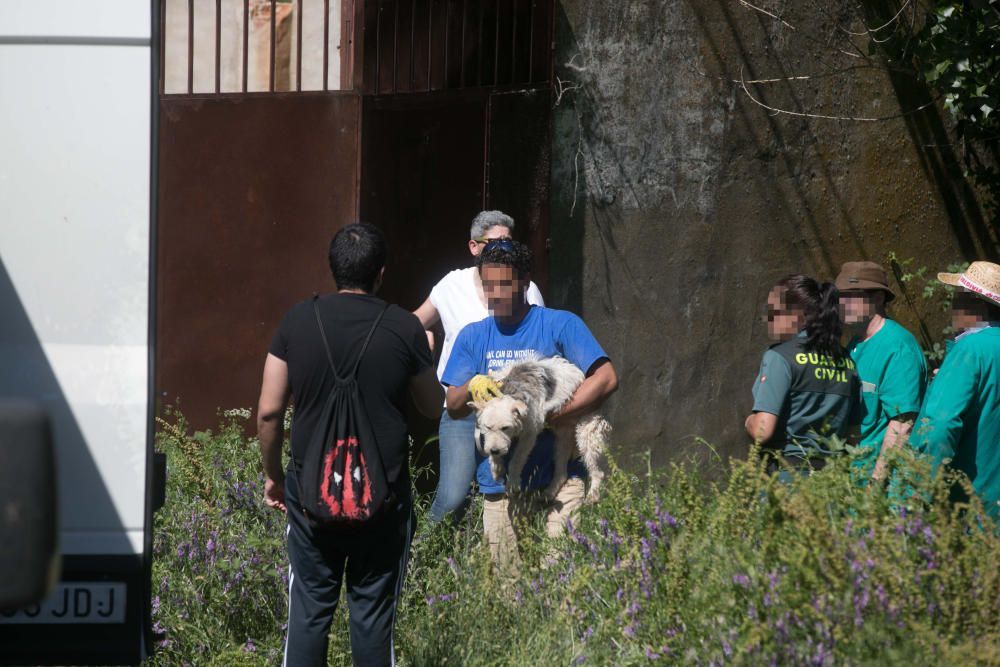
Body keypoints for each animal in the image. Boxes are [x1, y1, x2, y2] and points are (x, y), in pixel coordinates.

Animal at [472, 358, 612, 504]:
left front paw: (513, 483)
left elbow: (516, 460)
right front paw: (496, 467)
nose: (494, 451)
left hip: (587, 435)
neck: (509, 391)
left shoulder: (529, 434)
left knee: (598, 472)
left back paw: (593, 495)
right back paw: (549, 493)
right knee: (562, 473)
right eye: (487, 427)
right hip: (562, 440)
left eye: (505, 428)